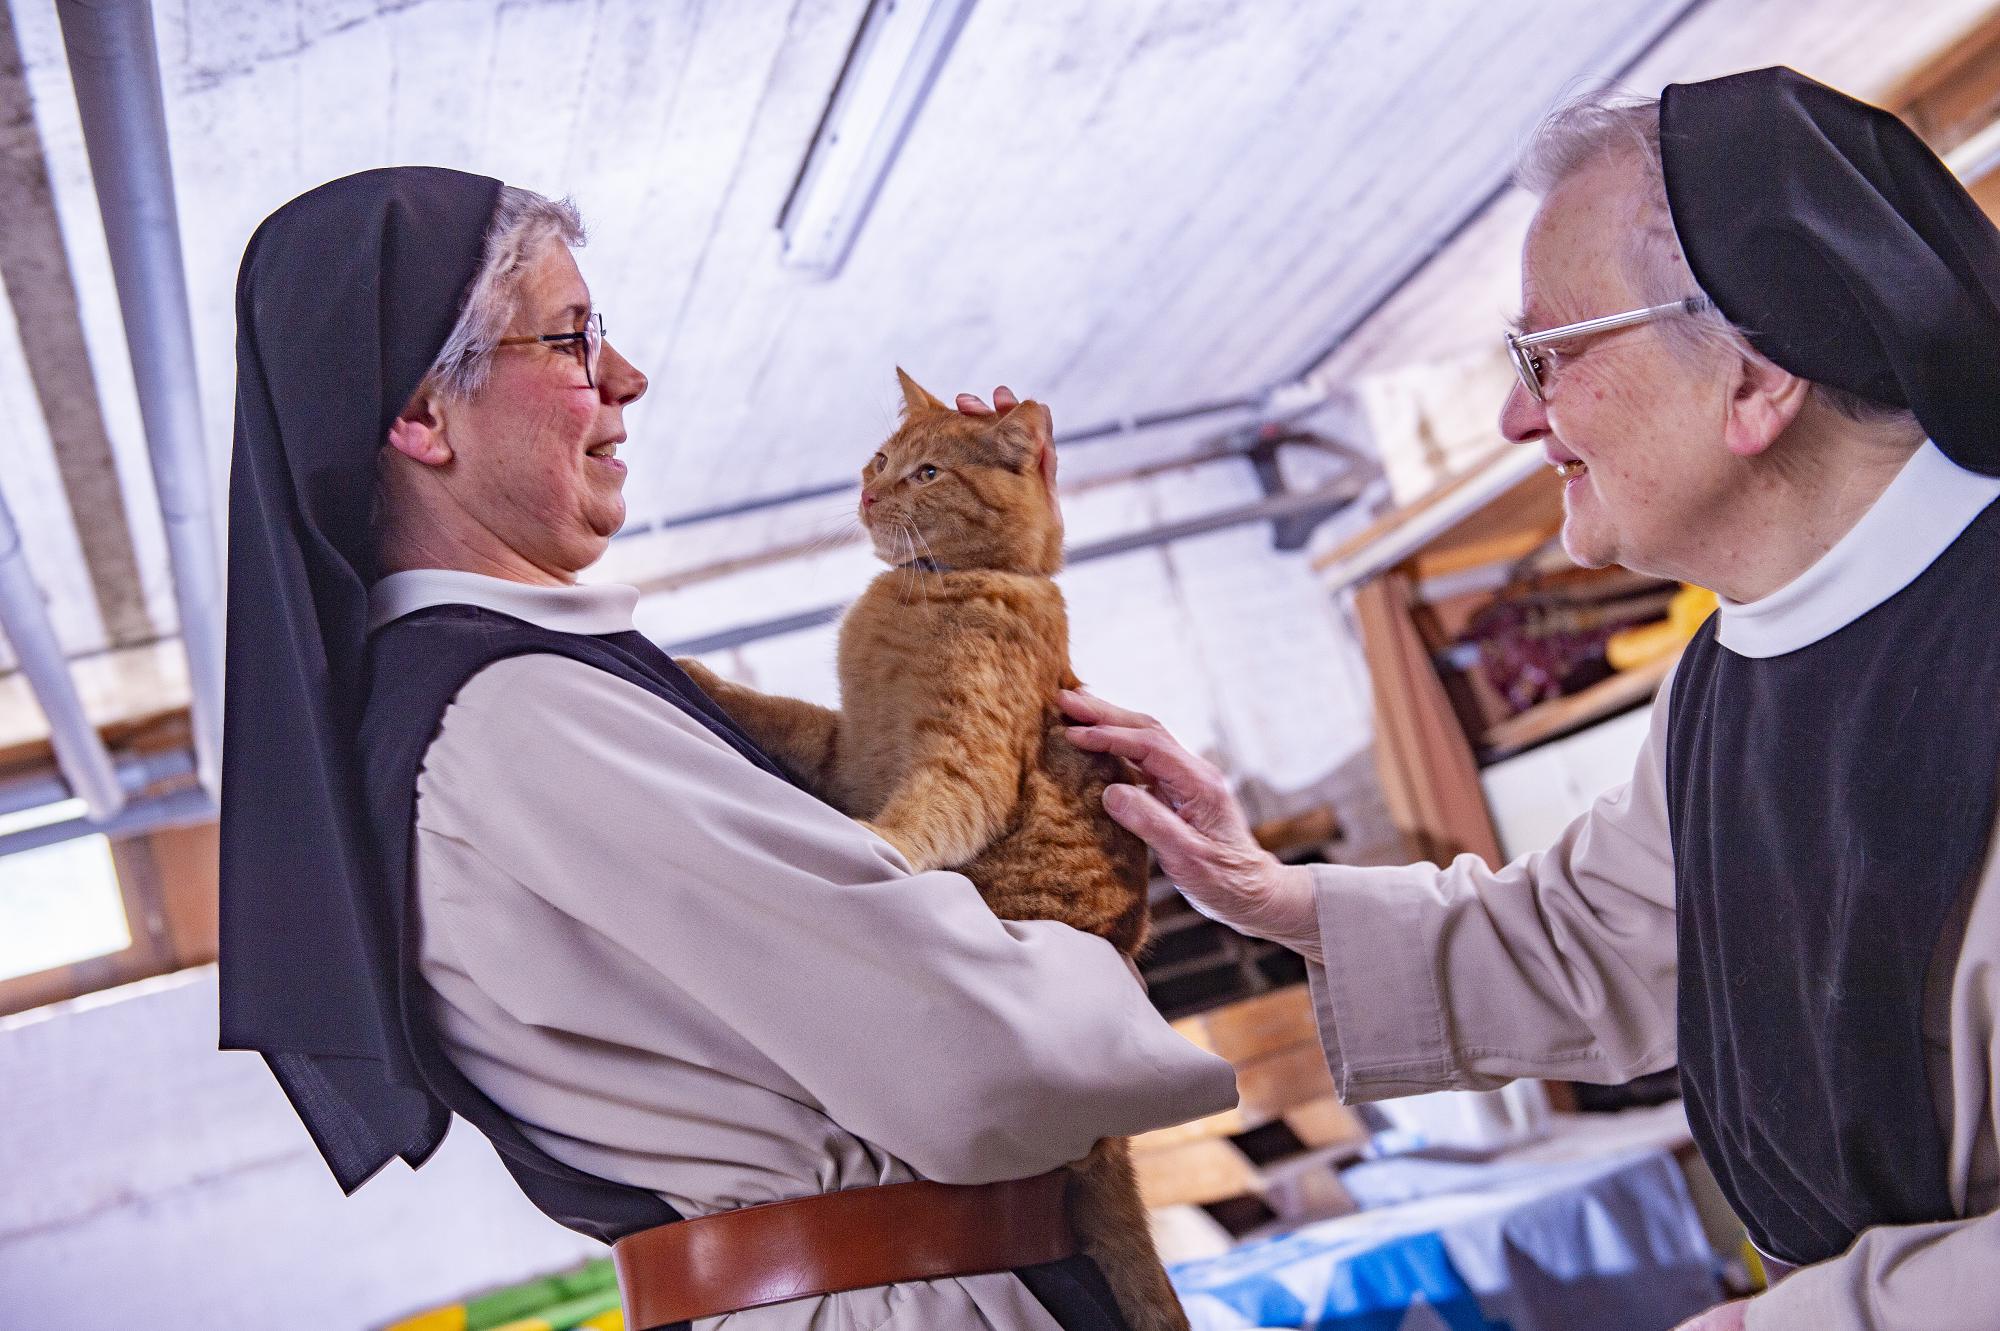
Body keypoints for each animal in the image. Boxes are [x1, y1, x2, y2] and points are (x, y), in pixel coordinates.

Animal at [680, 367, 1184, 1327]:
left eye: (929, 474)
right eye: (882, 459)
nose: (871, 492)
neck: (931, 591)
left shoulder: (963, 761)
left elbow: (919, 817)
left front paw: (870, 844)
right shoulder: (844, 747)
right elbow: (779, 713)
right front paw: (690, 671)